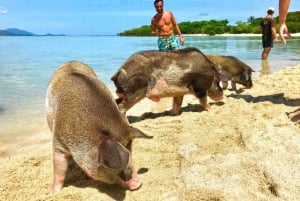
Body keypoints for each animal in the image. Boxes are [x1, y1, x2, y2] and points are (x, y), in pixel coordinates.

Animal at [45, 60, 151, 193]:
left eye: (130, 152)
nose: (138, 184)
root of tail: (71, 61)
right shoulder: (58, 141)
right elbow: (59, 169)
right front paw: (52, 193)